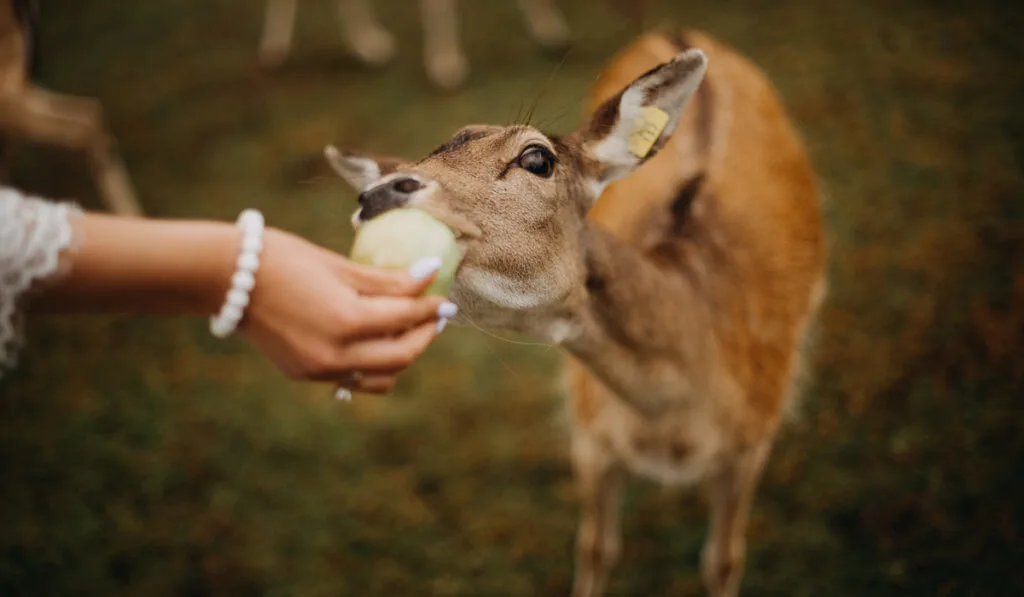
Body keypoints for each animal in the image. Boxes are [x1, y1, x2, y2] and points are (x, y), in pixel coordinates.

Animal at [323, 25, 827, 593]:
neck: (673, 428)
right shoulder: (587, 433)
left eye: (536, 159)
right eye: (409, 164)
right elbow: (594, 548)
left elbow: (722, 560)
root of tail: (673, 28)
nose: (375, 195)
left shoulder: (754, 441)